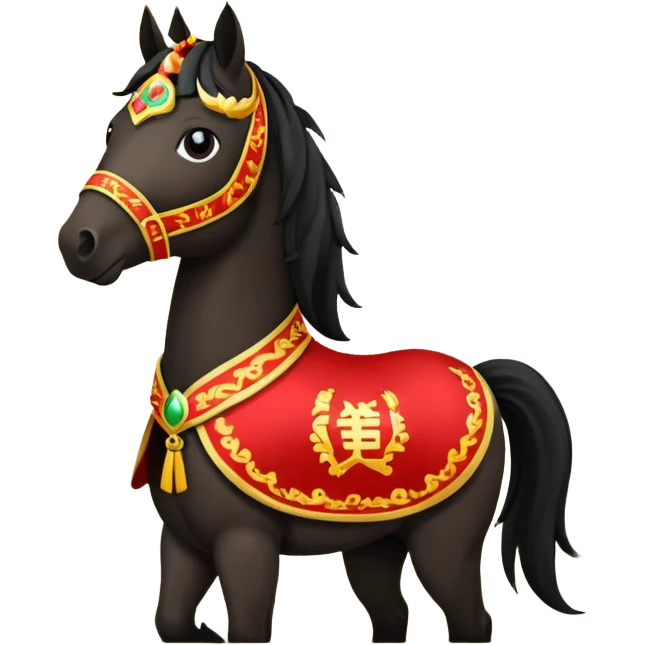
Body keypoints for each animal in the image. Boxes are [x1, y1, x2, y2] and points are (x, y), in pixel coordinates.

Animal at [56, 4, 583, 644]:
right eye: (113, 131)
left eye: (199, 142)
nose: (79, 242)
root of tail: (483, 375)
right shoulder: (182, 543)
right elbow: (173, 618)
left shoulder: (248, 544)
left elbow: (248, 627)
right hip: (374, 543)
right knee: (391, 616)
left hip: (444, 543)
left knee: (470, 619)